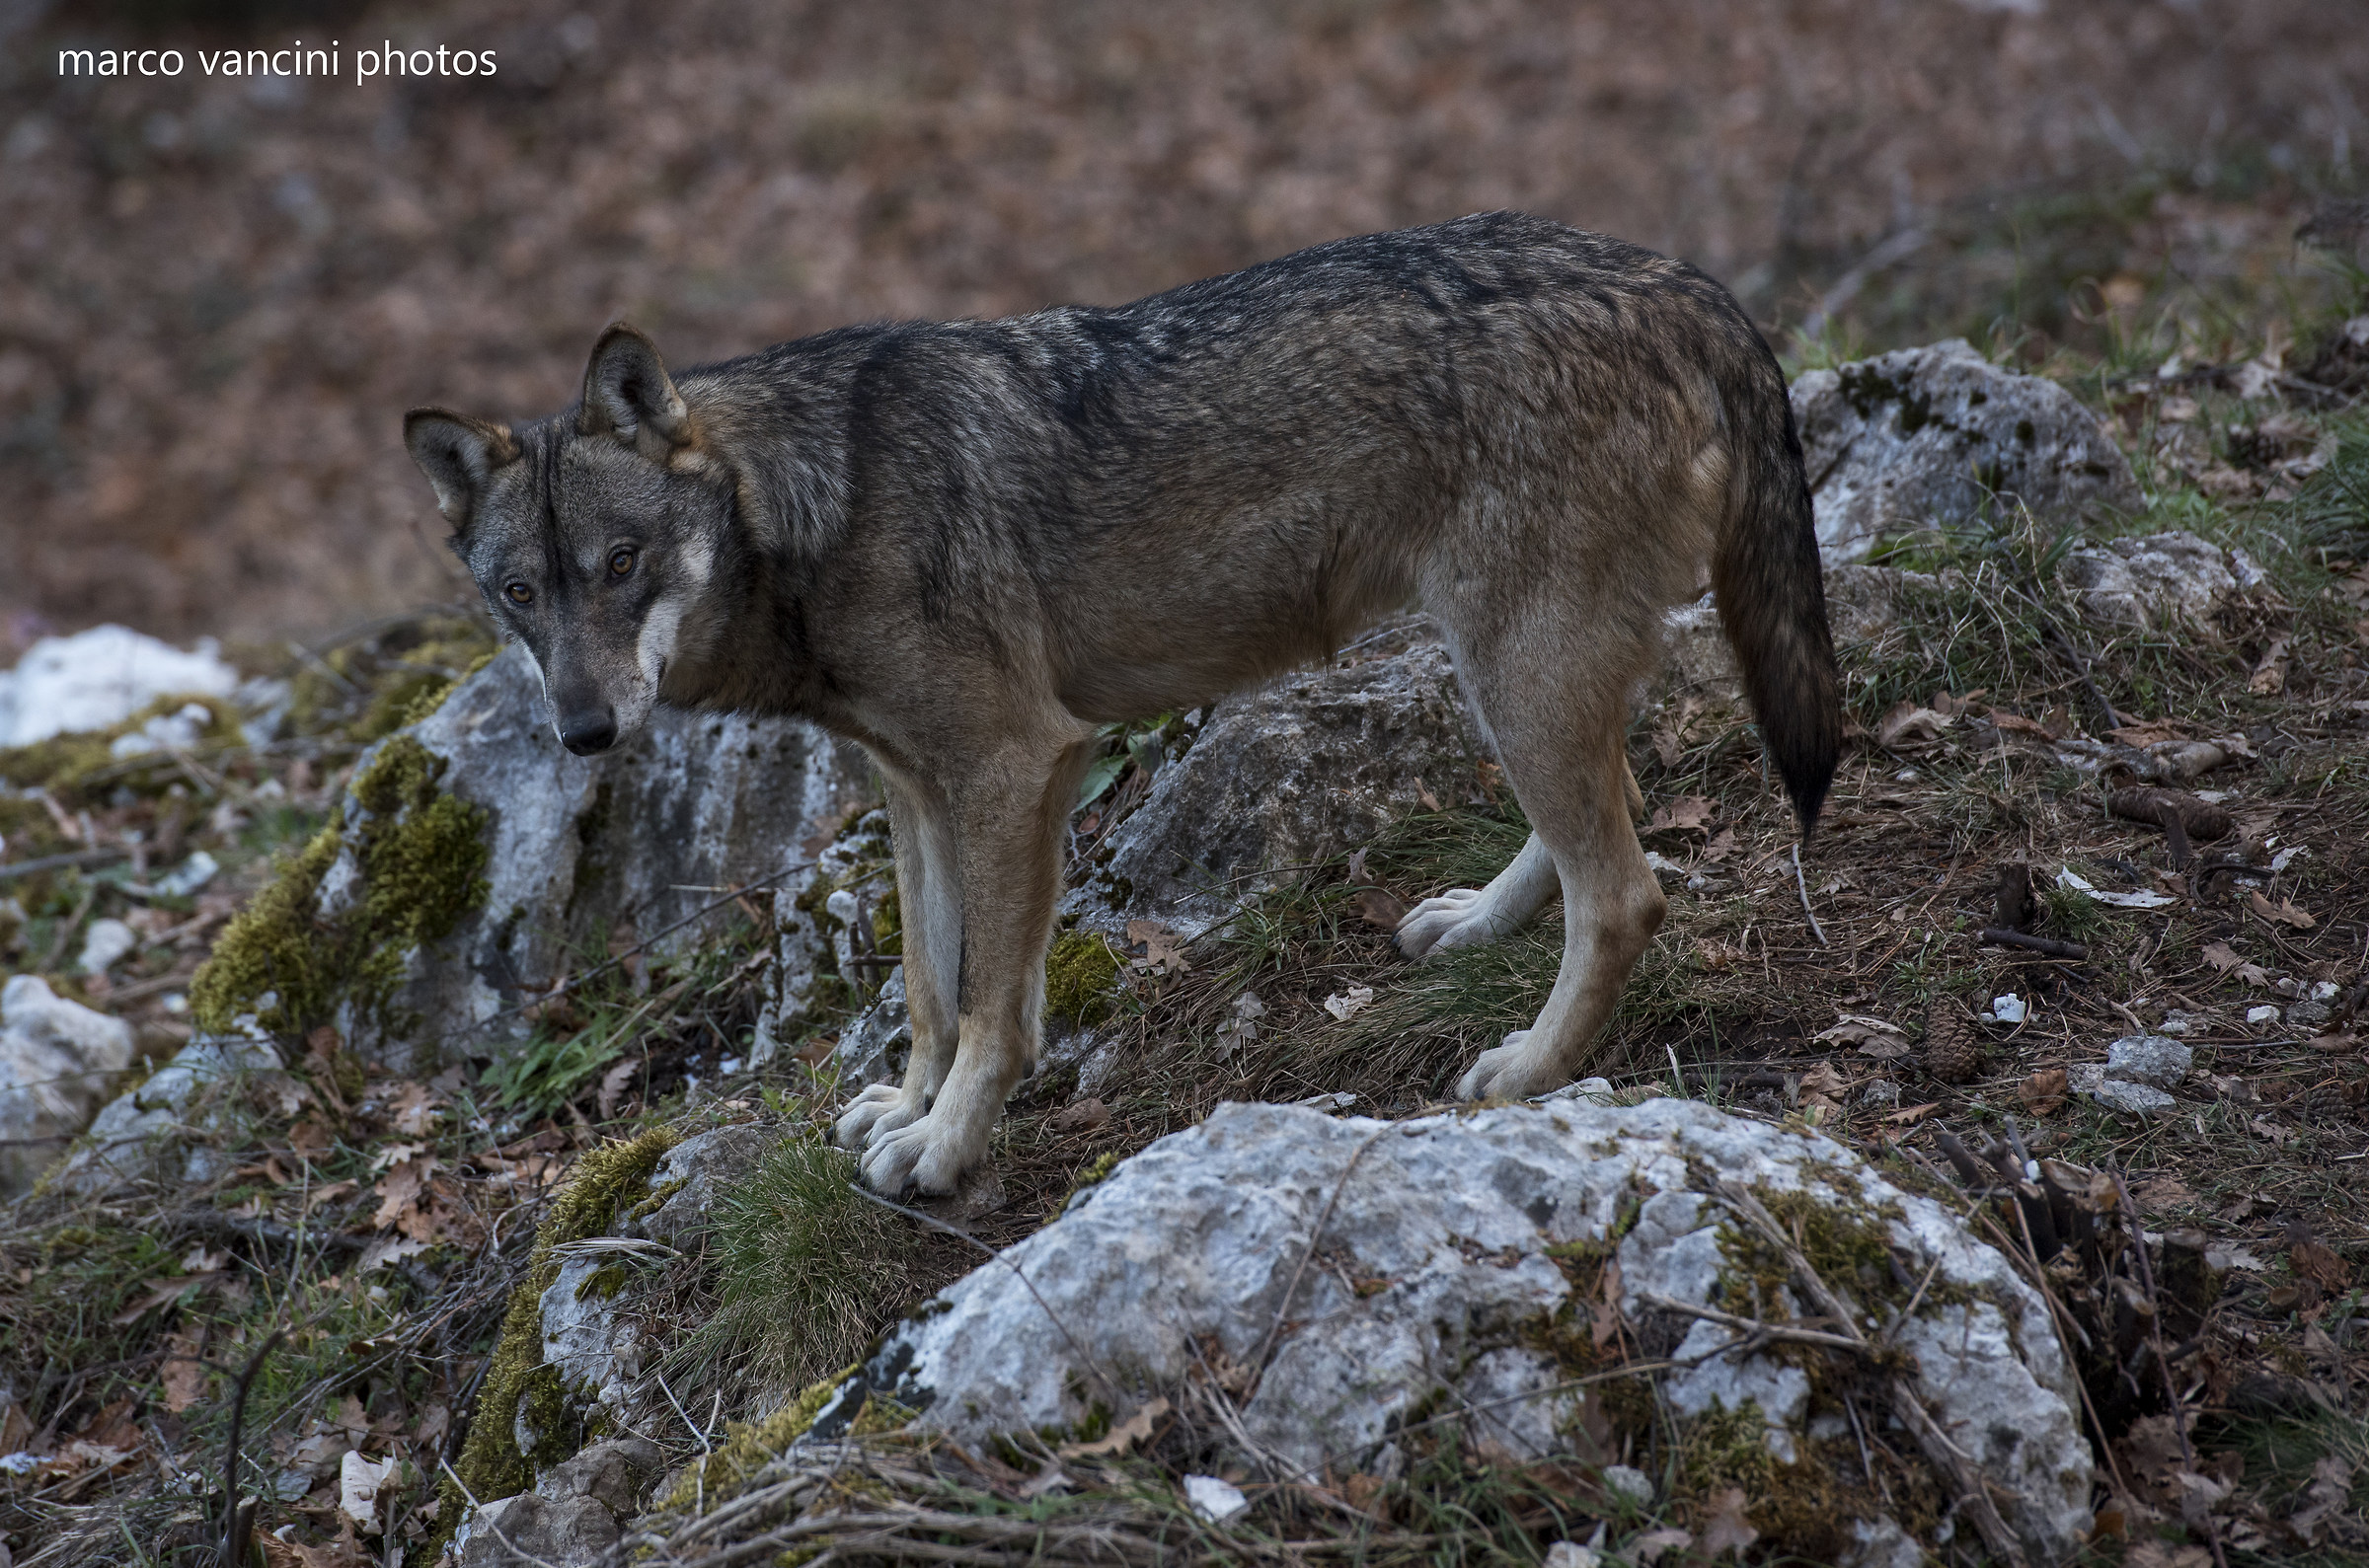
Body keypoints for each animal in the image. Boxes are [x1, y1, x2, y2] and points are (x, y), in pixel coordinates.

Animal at [404, 210, 1839, 1196]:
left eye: (621, 564)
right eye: (522, 592)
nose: (584, 733)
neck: (809, 512)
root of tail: (1684, 279)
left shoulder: (1012, 767)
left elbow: (994, 1004)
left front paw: (946, 1147)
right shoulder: (914, 791)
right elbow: (925, 988)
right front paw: (908, 1108)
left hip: (1513, 670)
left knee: (1629, 892)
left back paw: (1530, 1071)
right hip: (1508, 673)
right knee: (1619, 810)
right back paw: (1475, 927)